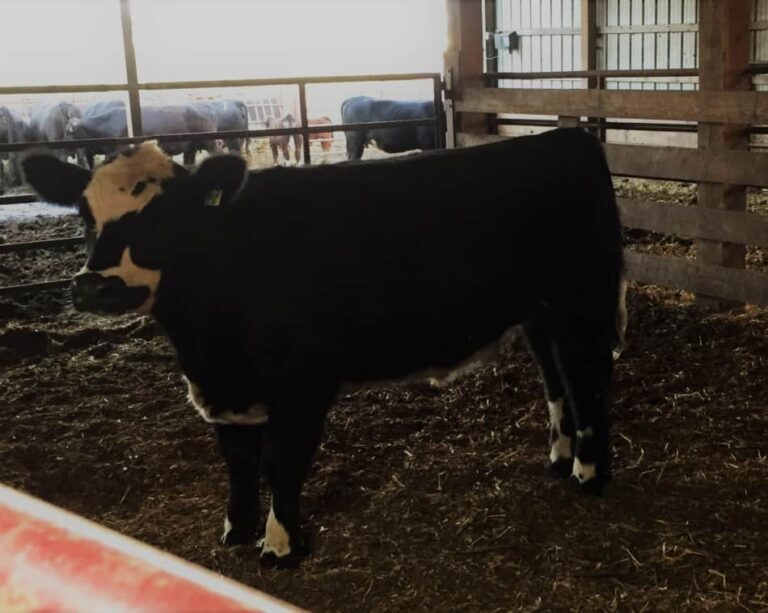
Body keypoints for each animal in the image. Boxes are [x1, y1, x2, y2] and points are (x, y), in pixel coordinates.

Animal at [21, 129, 628, 568]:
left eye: (165, 217)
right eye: (84, 214)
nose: (95, 286)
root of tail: (564, 137)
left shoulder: (302, 386)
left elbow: (281, 463)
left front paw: (280, 546)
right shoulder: (221, 387)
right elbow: (237, 461)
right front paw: (235, 530)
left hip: (583, 300)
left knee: (587, 380)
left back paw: (590, 475)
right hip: (539, 313)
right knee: (556, 379)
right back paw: (559, 459)